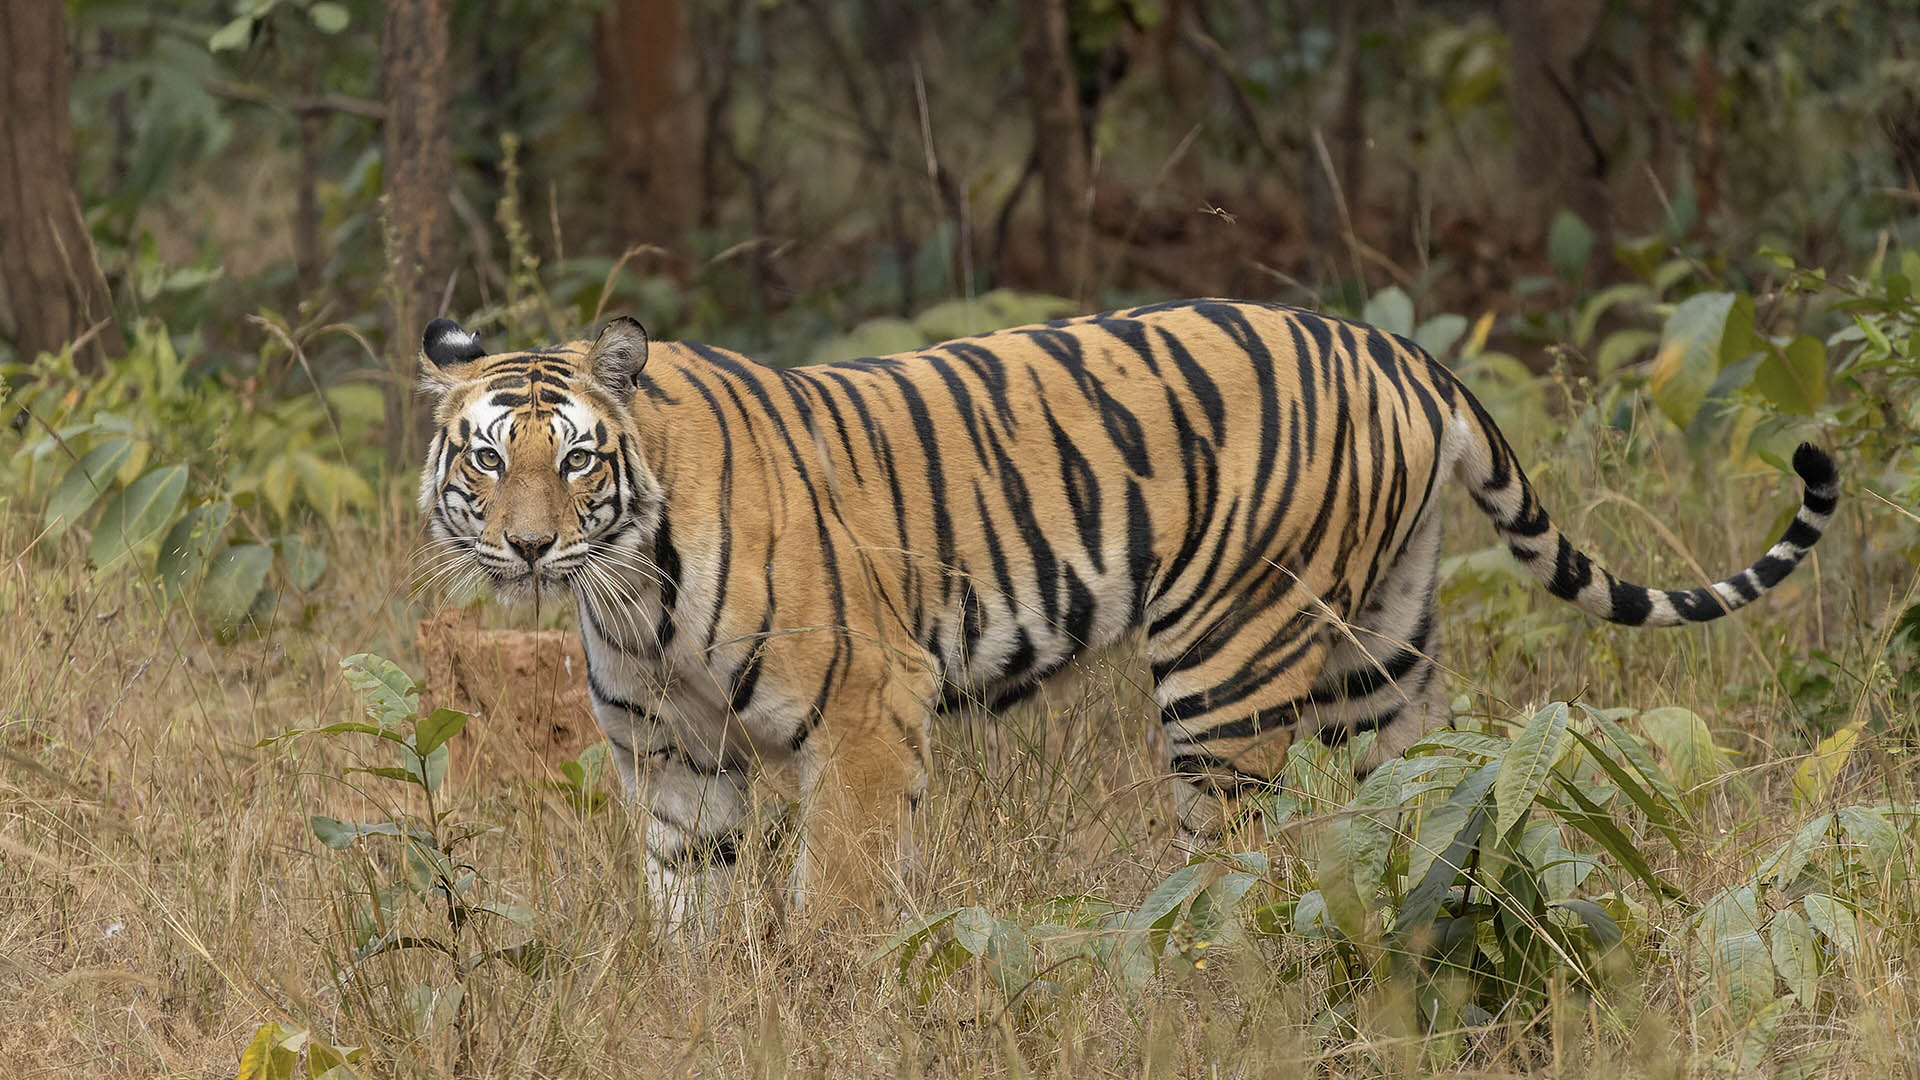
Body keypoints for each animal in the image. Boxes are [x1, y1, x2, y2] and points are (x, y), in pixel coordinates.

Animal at [416, 299, 1838, 929]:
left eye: (576, 461)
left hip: (1229, 666)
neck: (629, 588)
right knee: (1429, 797)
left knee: (1232, 866)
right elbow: (688, 921)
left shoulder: (868, 710)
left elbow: (839, 898)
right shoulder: (675, 761)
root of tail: (1392, 345)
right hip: (1384, 651)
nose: (530, 545)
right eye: (488, 457)